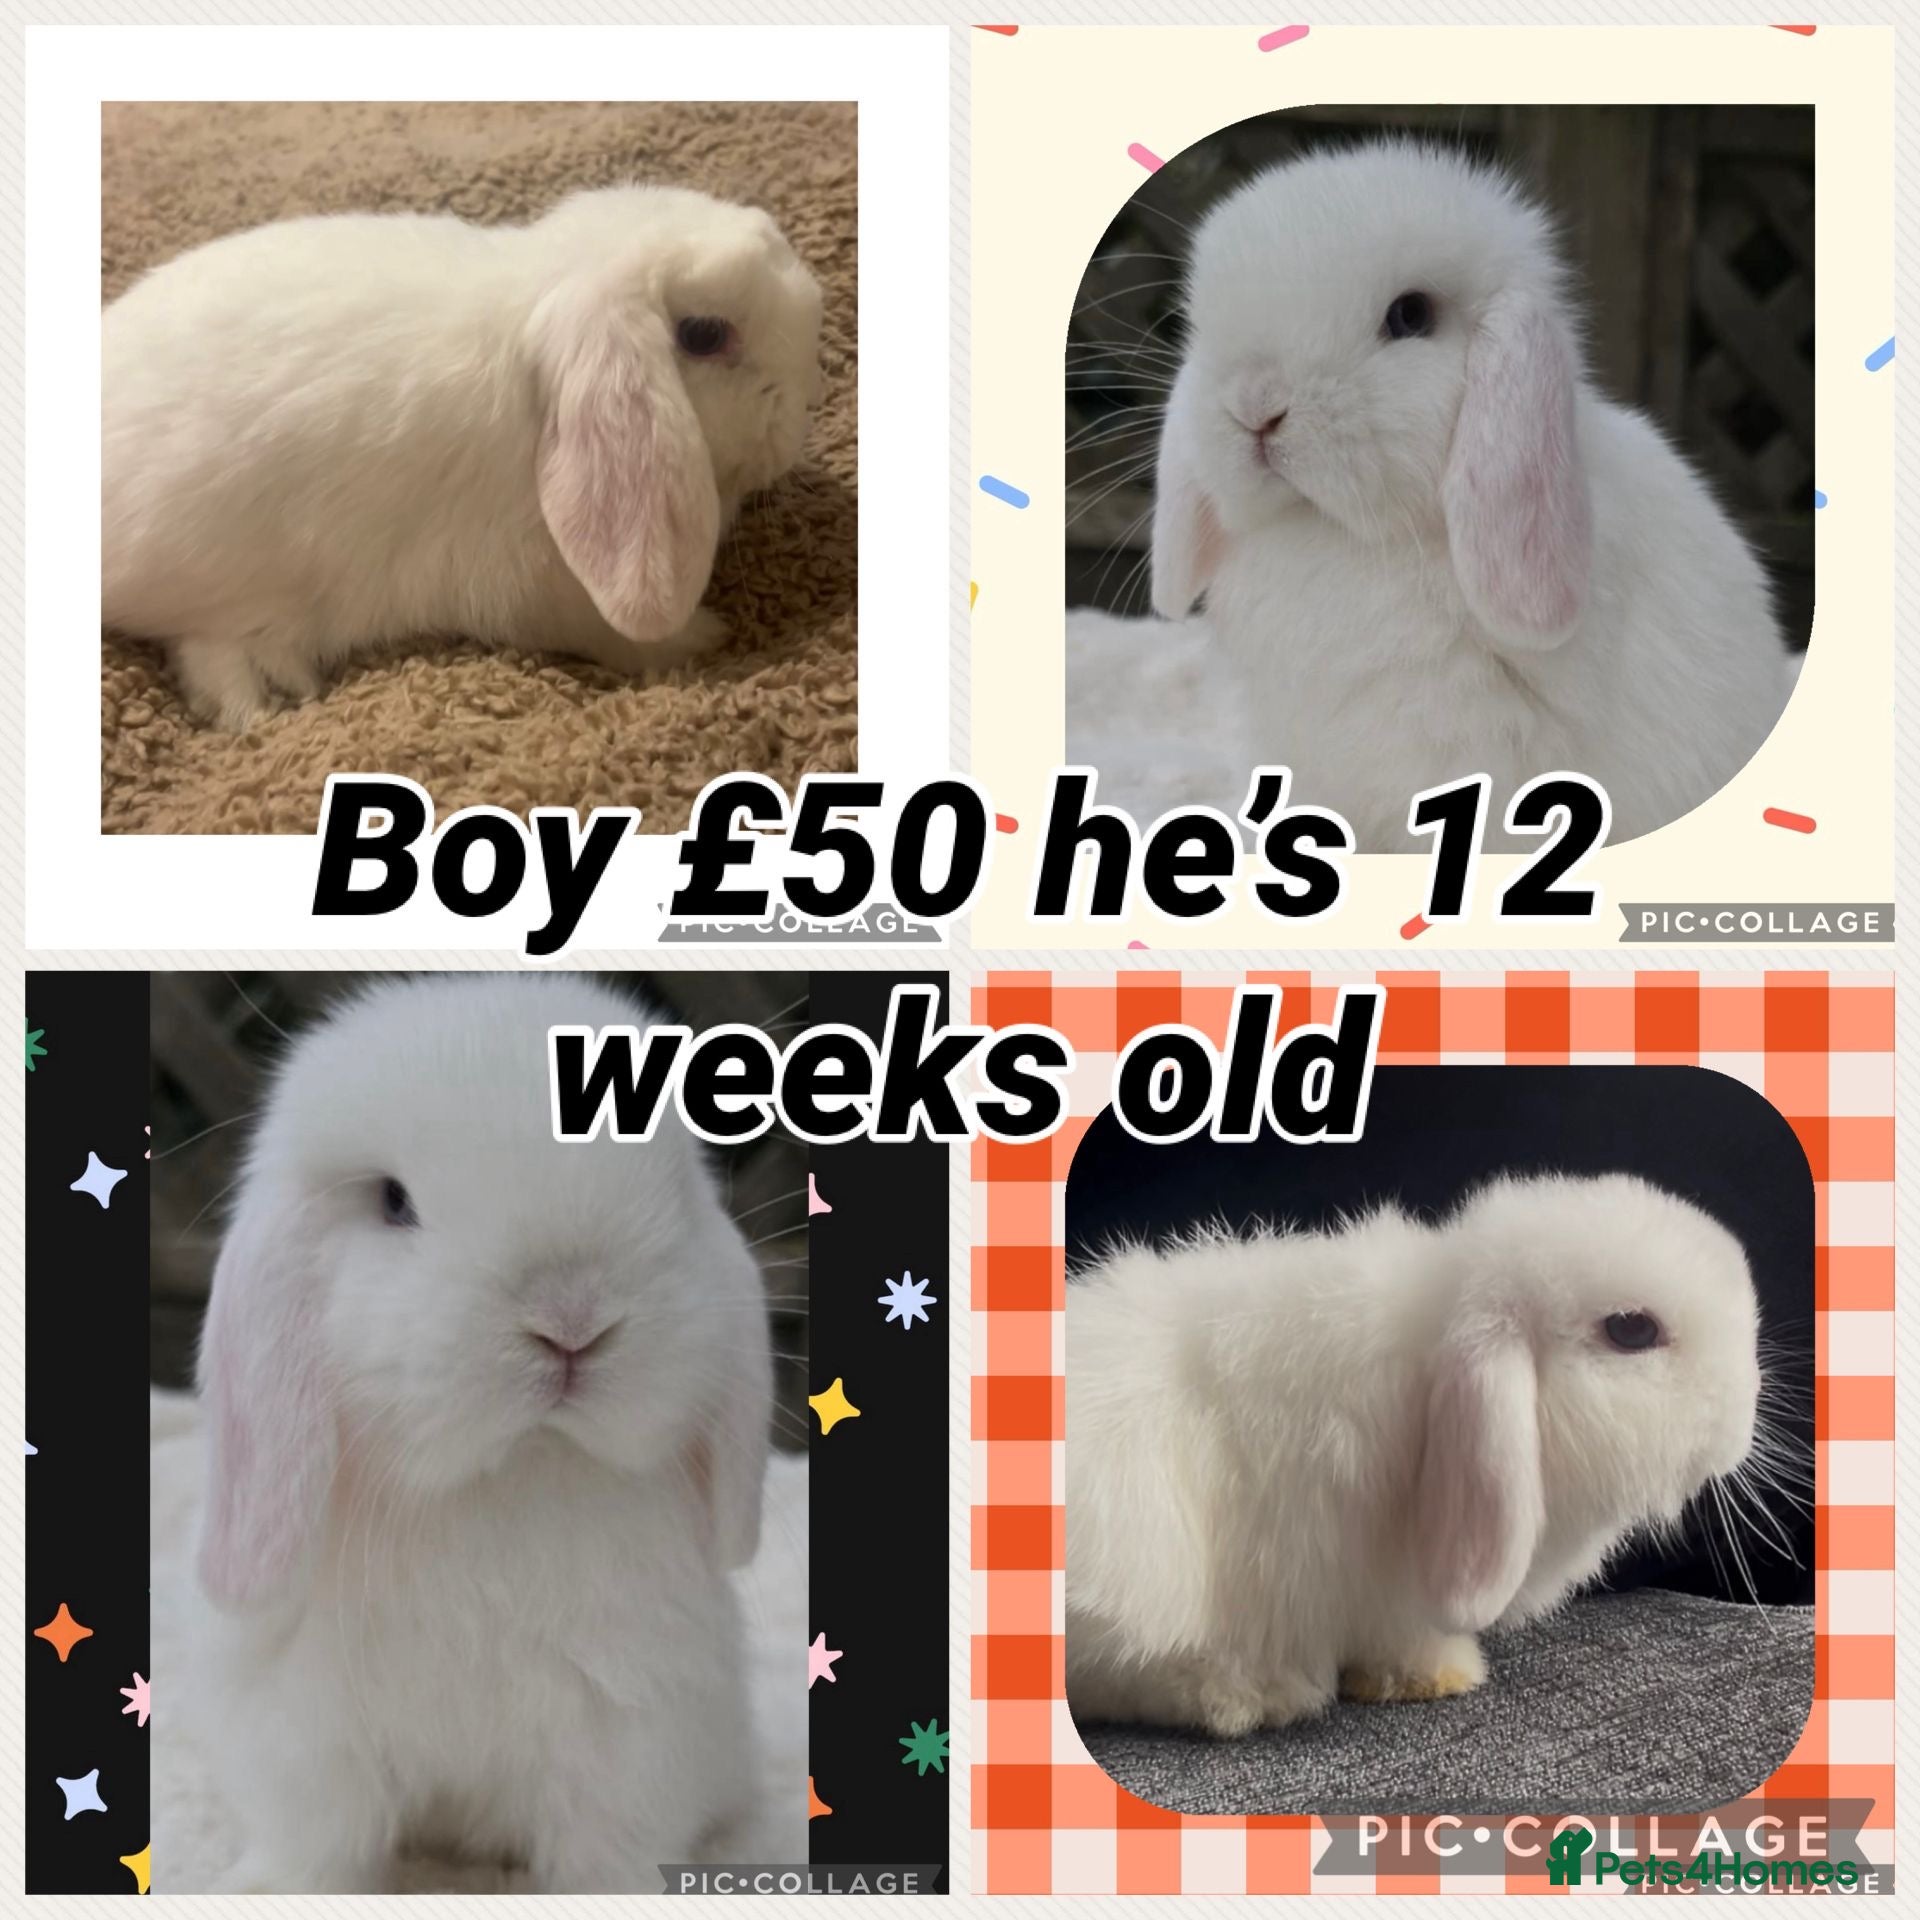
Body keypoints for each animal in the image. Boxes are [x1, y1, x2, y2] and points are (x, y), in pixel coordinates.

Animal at [184, 973, 775, 1891]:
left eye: (676, 1195)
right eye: (394, 1202)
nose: (570, 1321)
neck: (505, 1479)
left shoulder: (629, 1735)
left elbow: (607, 1852)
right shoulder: (311, 1739)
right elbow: (316, 1842)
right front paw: (265, 1891)